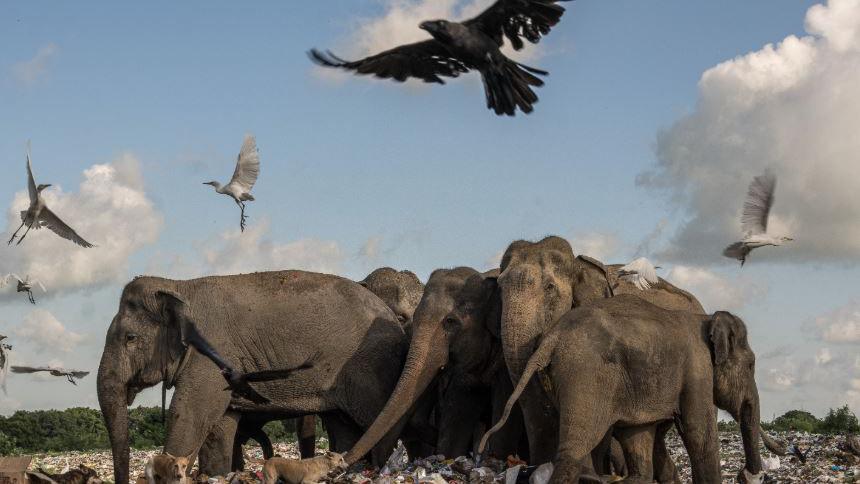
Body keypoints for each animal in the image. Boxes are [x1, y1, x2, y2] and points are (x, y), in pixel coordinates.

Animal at [98, 272, 410, 484]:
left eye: (130, 338)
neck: (178, 285)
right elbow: (219, 426)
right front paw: (216, 475)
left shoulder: (209, 355)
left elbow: (188, 414)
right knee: (342, 423)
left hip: (369, 367)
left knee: (378, 418)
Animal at [484, 294, 764, 484]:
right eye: (751, 365)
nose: (745, 475)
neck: (706, 320)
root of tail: (552, 337)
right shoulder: (697, 370)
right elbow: (699, 433)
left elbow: (638, 434)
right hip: (586, 375)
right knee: (574, 448)